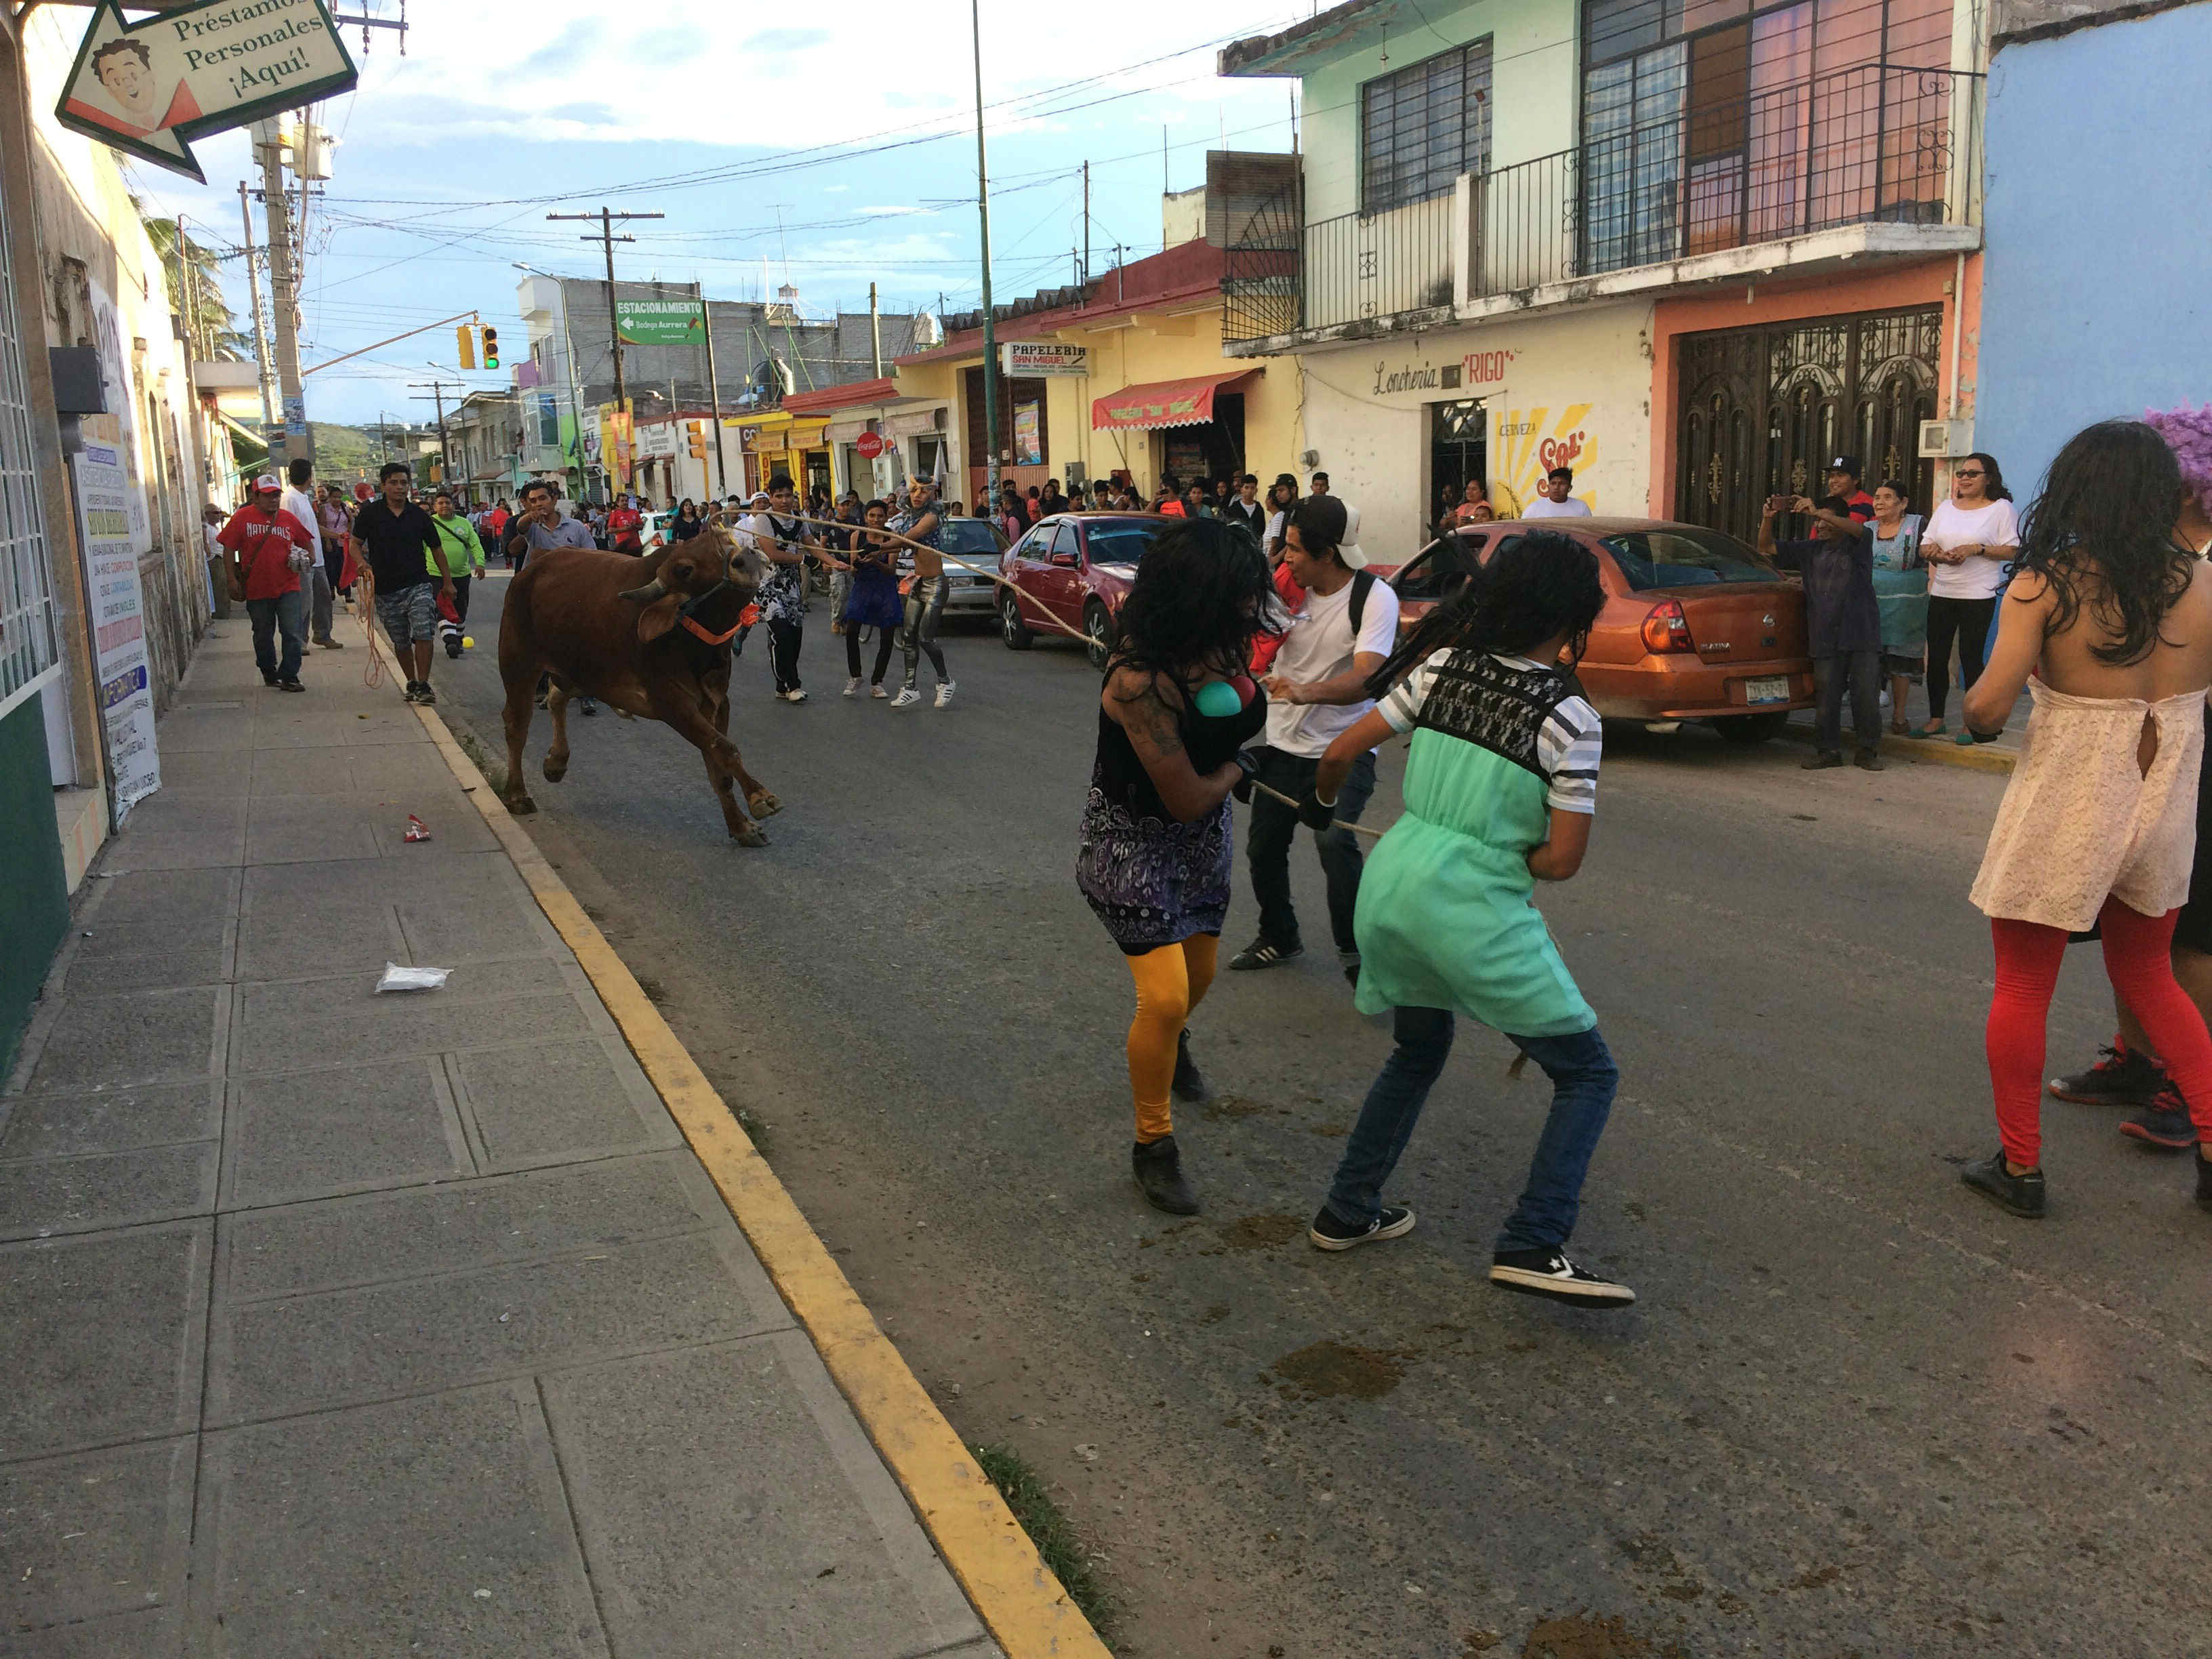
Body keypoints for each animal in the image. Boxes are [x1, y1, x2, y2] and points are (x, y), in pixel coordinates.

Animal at [501, 526, 787, 844]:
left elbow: (719, 771)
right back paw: (516, 794)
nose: (747, 557)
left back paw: (556, 763)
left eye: (727, 540)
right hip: (518, 662)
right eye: (685, 569)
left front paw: (740, 827)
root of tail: (532, 568)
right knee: (516, 726)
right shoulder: (672, 705)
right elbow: (724, 748)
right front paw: (760, 797)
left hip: (582, 671)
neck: (694, 643)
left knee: (556, 698)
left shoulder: (716, 703)